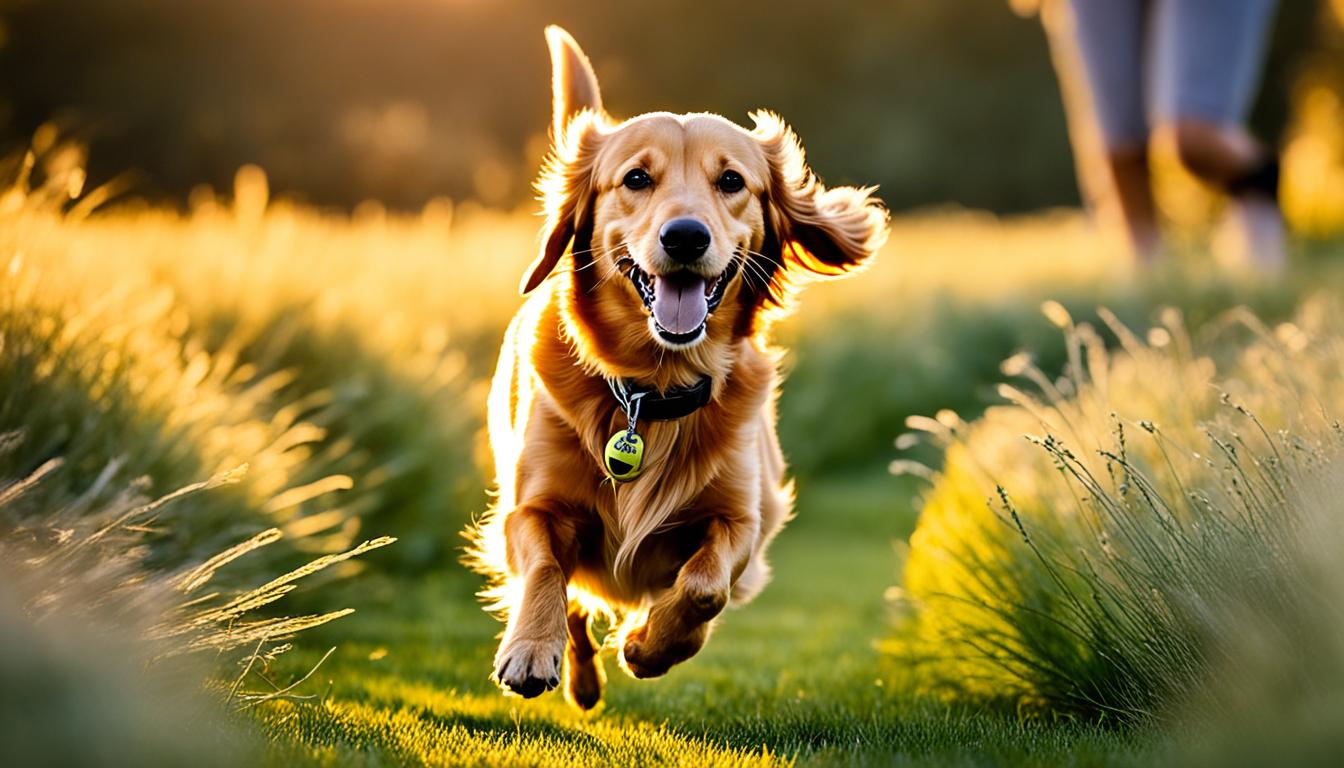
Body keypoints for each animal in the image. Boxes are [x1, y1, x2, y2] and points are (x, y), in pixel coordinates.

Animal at [467, 25, 887, 710]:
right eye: (637, 178)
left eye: (732, 181)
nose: (685, 236)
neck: (651, 391)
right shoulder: (529, 507)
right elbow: (548, 570)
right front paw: (529, 648)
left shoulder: (746, 517)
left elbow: (704, 586)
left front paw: (649, 644)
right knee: (574, 601)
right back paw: (578, 677)